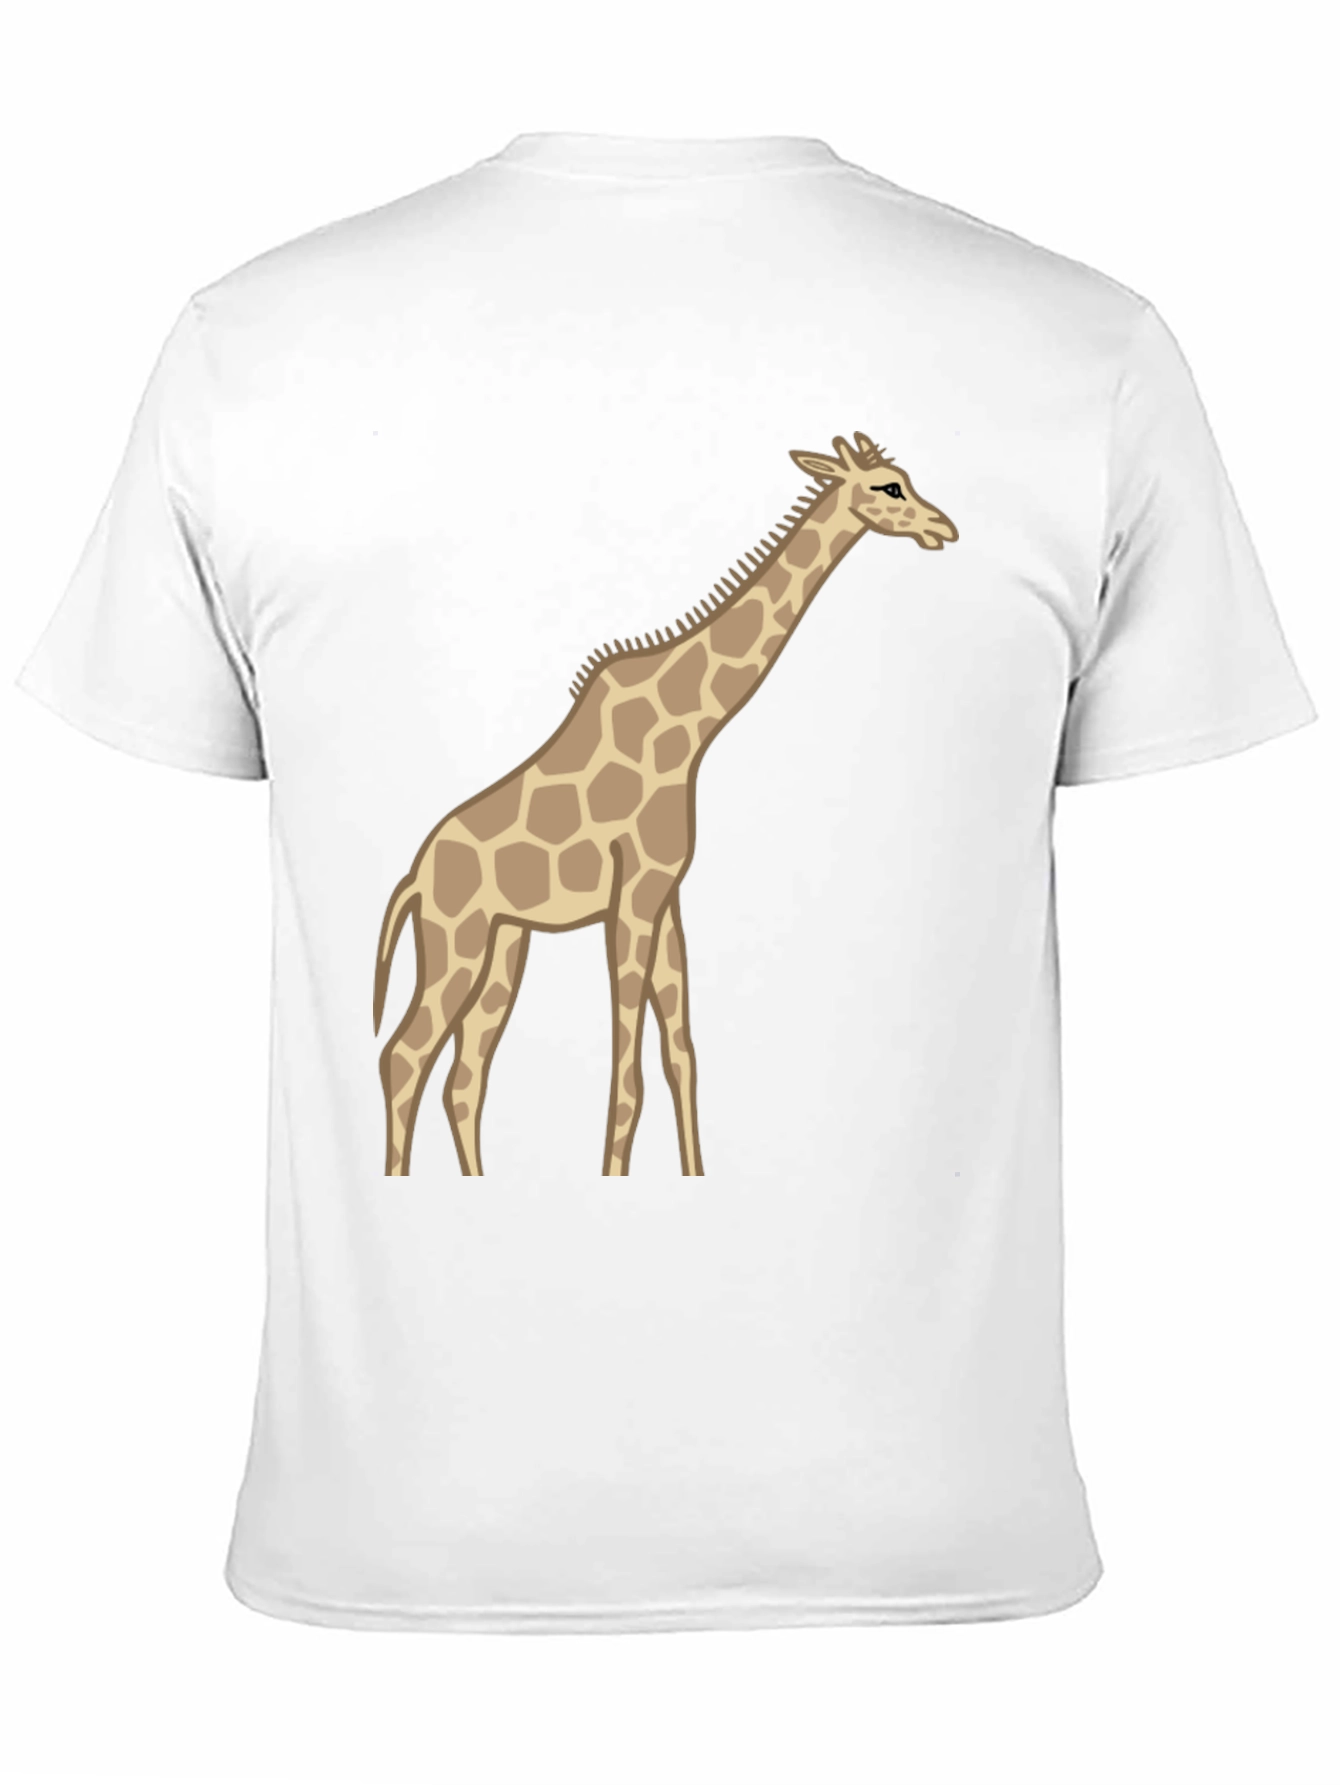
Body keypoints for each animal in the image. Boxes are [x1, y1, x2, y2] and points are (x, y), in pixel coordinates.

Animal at [374, 431, 957, 1177]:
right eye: (888, 487)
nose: (945, 528)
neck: (691, 729)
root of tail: (415, 877)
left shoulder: (667, 895)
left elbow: (682, 1057)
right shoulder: (632, 897)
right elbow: (628, 1072)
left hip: (504, 946)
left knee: (463, 1075)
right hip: (457, 938)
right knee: (404, 1055)